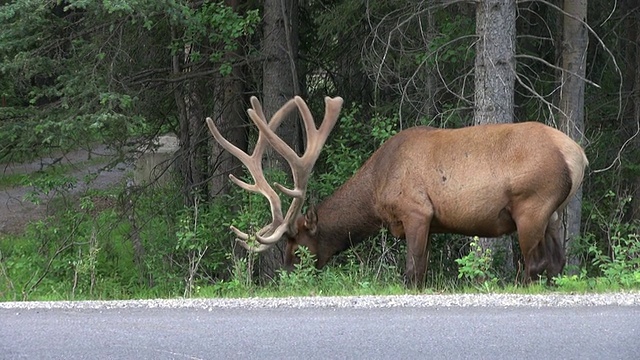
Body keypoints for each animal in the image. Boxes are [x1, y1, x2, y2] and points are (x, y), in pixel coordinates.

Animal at [206, 96, 592, 286]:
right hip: (553, 213)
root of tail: (578, 156)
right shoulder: (428, 222)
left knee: (537, 262)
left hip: (531, 205)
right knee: (557, 262)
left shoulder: (417, 211)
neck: (376, 189)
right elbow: (421, 271)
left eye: (297, 244)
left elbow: (412, 273)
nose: (285, 276)